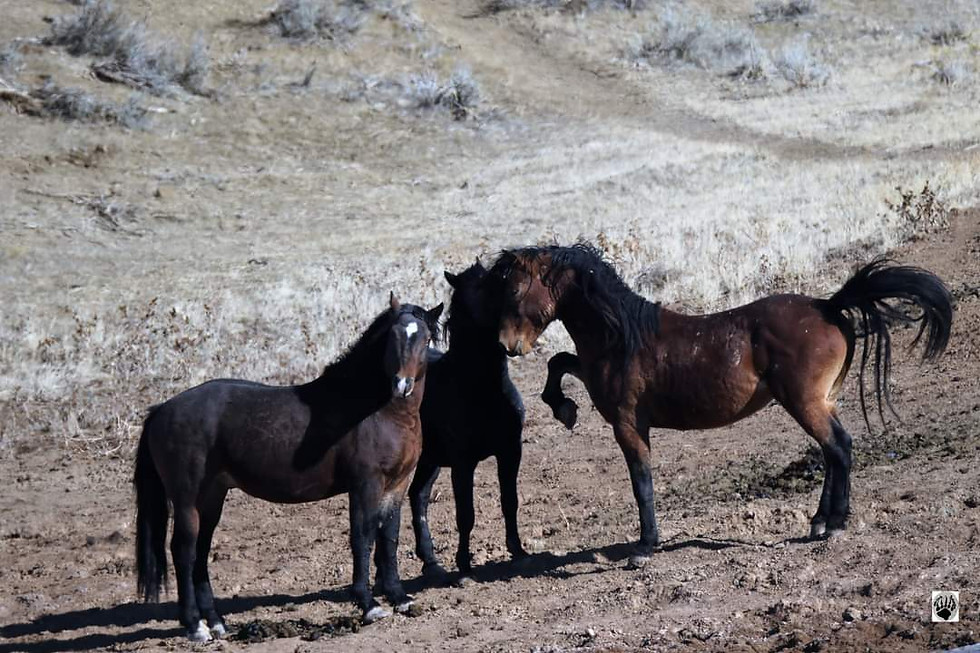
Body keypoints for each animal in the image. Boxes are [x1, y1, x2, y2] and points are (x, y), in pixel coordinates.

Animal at [133, 294, 443, 641]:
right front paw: (369, 604)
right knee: (183, 552)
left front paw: (399, 598)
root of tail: (161, 410)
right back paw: (195, 626)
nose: (401, 384)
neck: (379, 412)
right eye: (393, 337)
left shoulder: (396, 485)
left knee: (200, 551)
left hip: (211, 496)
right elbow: (362, 538)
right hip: (186, 499)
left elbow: (388, 537)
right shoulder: (365, 485)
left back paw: (216, 622)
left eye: (425, 338)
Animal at [409, 262, 526, 582]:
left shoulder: (510, 452)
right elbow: (466, 513)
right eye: (481, 285)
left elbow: (510, 501)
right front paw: (464, 565)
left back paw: (431, 562)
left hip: (429, 461)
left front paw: (519, 551)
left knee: (417, 496)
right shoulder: (463, 462)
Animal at [488, 244, 952, 562]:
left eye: (516, 288)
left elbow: (641, 482)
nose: (507, 346)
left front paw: (644, 547)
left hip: (804, 403)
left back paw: (834, 524)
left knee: (838, 447)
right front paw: (563, 408)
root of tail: (828, 305)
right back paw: (820, 521)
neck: (621, 337)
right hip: (822, 401)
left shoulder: (627, 424)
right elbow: (559, 361)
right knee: (834, 450)